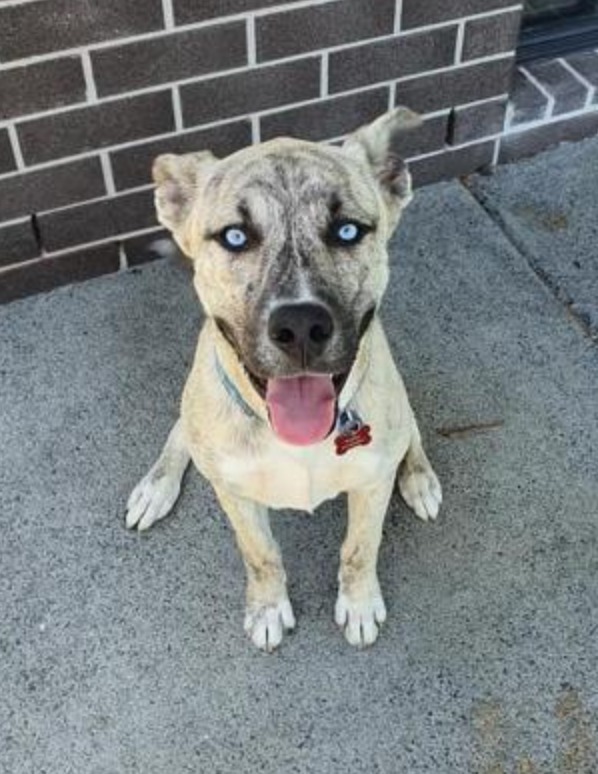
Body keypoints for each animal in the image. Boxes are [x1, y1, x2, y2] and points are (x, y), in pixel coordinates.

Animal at [125, 108, 442, 651]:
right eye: (235, 236)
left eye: (347, 231)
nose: (300, 327)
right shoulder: (234, 494)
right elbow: (261, 556)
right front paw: (269, 608)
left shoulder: (371, 483)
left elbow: (360, 549)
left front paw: (359, 604)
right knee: (179, 431)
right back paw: (155, 486)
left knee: (411, 434)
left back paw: (419, 477)